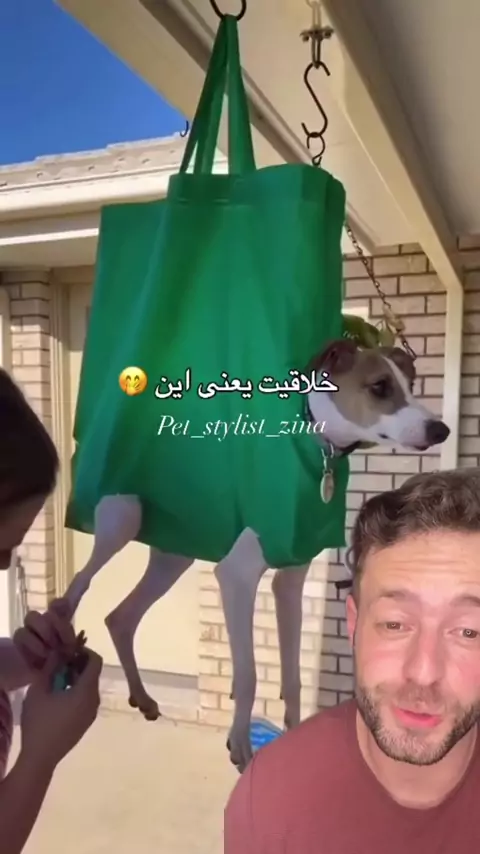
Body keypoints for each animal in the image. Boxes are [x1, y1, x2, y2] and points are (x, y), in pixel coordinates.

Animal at [63, 339, 450, 772]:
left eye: (411, 384)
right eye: (380, 386)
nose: (441, 430)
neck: (315, 444)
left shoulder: (291, 579)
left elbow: (293, 676)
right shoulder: (237, 575)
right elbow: (246, 675)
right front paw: (240, 745)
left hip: (172, 558)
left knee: (121, 618)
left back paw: (142, 697)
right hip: (120, 521)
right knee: (76, 589)